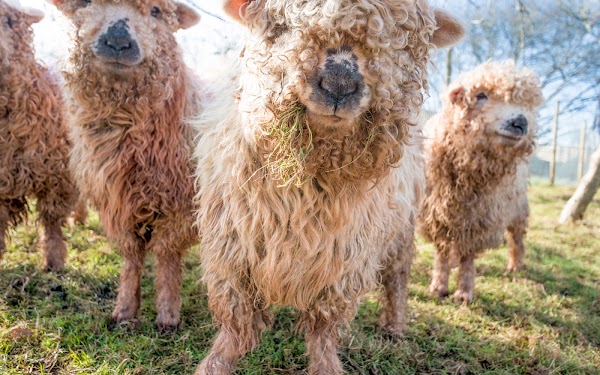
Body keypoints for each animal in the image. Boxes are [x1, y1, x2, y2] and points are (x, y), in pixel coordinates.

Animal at [192, 1, 464, 374]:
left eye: (399, 40)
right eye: (281, 26)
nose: (339, 84)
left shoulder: (344, 261)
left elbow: (323, 327)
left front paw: (326, 364)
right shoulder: (232, 249)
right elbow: (237, 320)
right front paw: (216, 362)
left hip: (401, 231)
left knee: (396, 279)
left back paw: (394, 328)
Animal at [418, 60, 544, 304]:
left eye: (526, 103)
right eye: (481, 95)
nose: (520, 121)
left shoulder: (480, 218)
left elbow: (468, 256)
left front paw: (464, 293)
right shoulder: (436, 213)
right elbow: (442, 251)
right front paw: (438, 286)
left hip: (518, 208)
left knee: (517, 238)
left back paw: (516, 265)